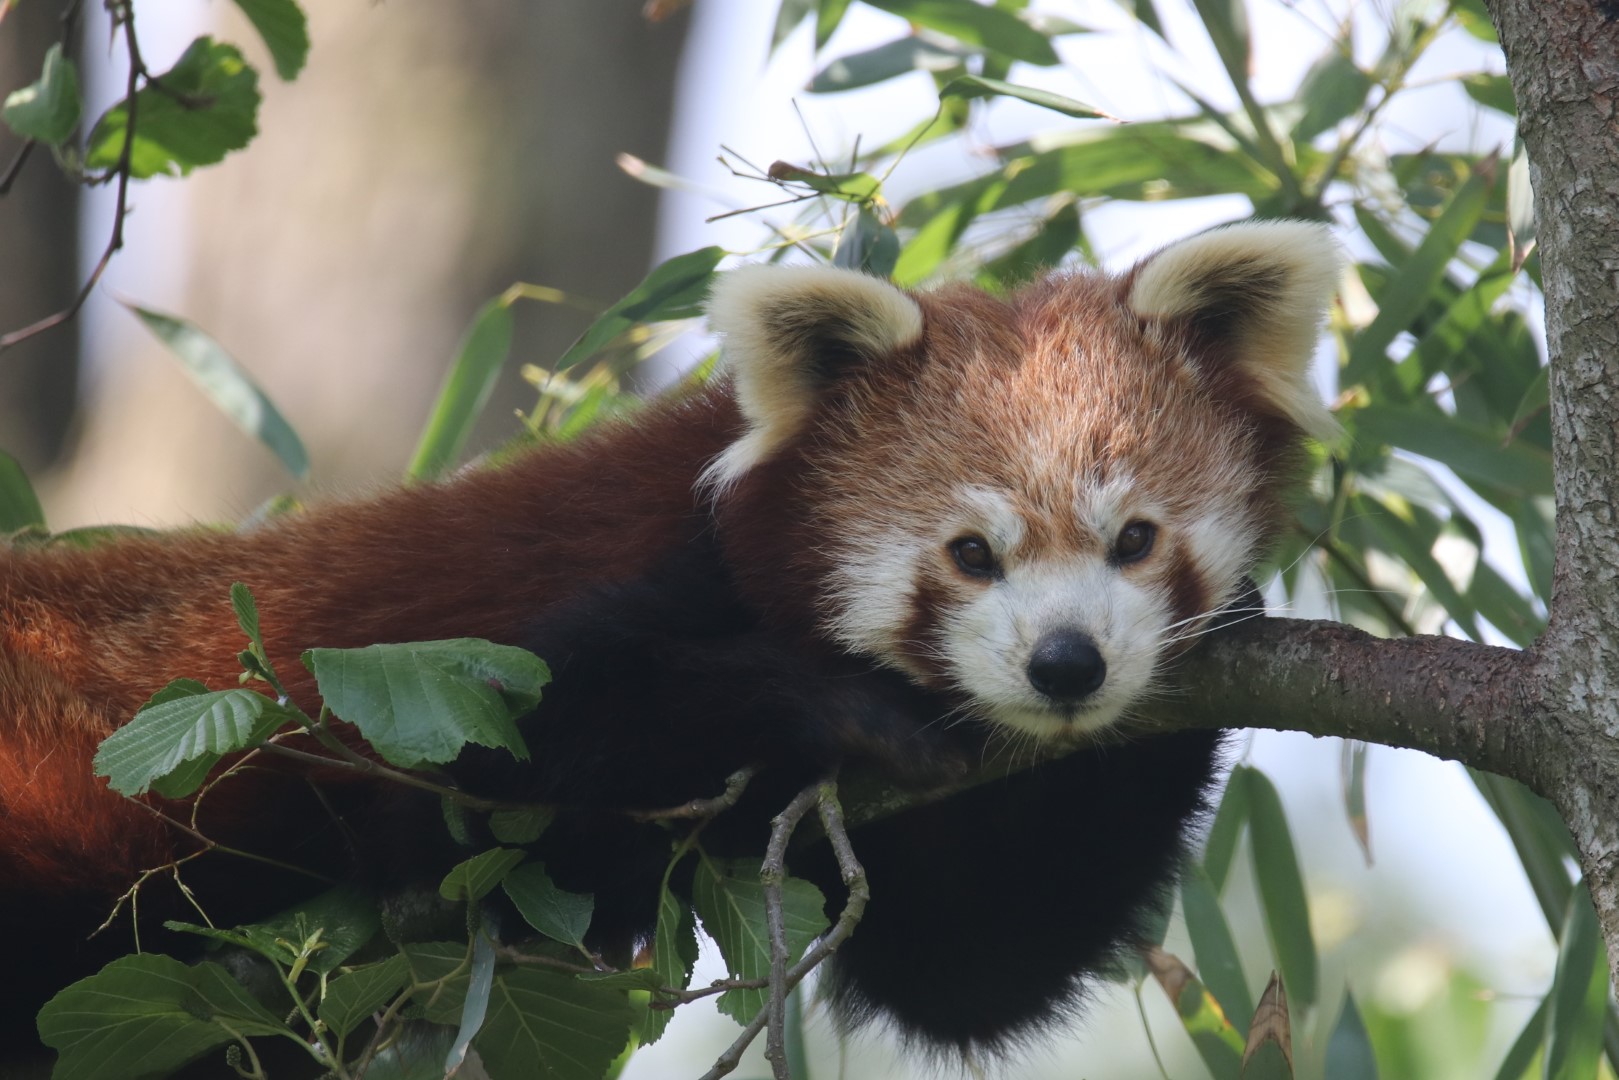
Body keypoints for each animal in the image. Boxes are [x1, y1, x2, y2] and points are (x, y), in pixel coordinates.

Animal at [0, 220, 1339, 1060]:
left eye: (1133, 540)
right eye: (970, 554)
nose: (1066, 664)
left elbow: (971, 967)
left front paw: (1228, 621)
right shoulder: (452, 667)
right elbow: (488, 774)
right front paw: (826, 704)